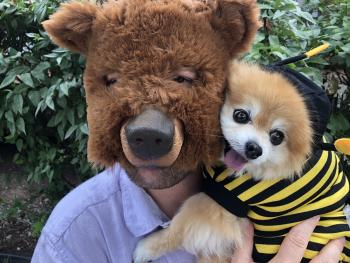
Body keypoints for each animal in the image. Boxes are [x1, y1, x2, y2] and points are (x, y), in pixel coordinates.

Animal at [132, 60, 350, 262]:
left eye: (277, 137)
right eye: (241, 115)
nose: (254, 148)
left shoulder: (226, 198)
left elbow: (180, 226)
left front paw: (147, 248)